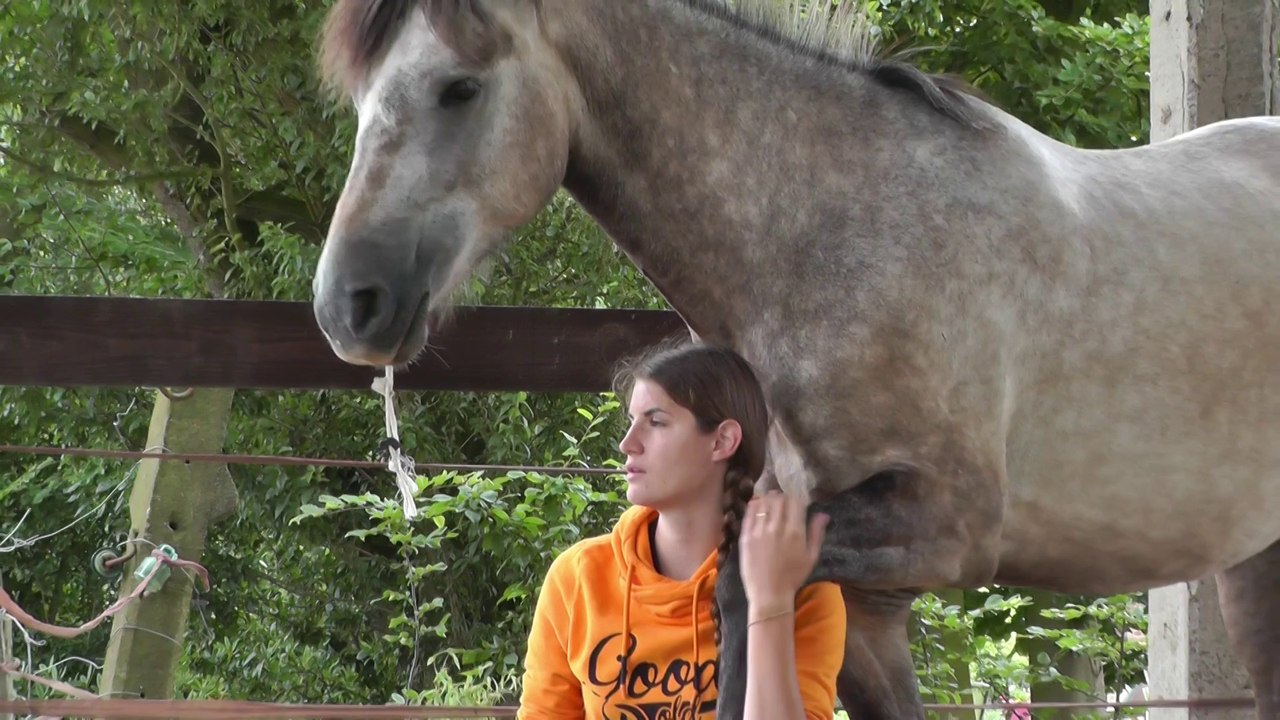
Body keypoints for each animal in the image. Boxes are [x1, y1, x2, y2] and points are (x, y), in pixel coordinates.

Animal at [308, 1, 1280, 717]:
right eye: (358, 105)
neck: (840, 239)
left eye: (459, 89)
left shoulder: (942, 529)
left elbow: (739, 599)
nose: (348, 304)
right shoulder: (874, 609)